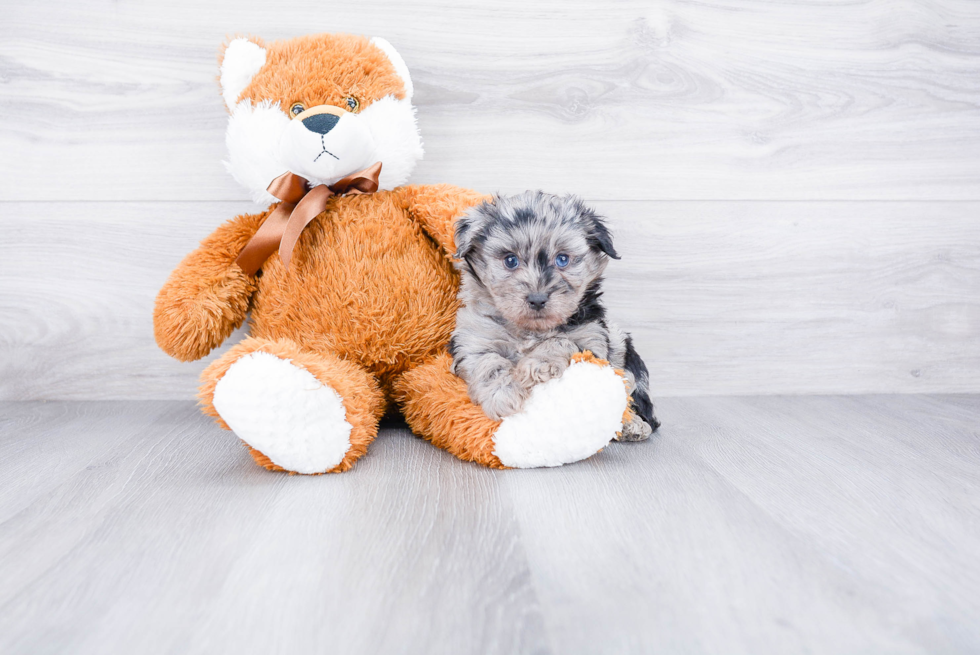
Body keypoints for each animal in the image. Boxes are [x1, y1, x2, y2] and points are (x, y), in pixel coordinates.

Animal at [450, 192, 664, 444]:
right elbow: (488, 362)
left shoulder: (592, 339)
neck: (531, 330)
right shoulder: (473, 339)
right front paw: (503, 394)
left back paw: (633, 425)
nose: (537, 299)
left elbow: (561, 340)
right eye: (510, 260)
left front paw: (538, 364)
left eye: (563, 259)